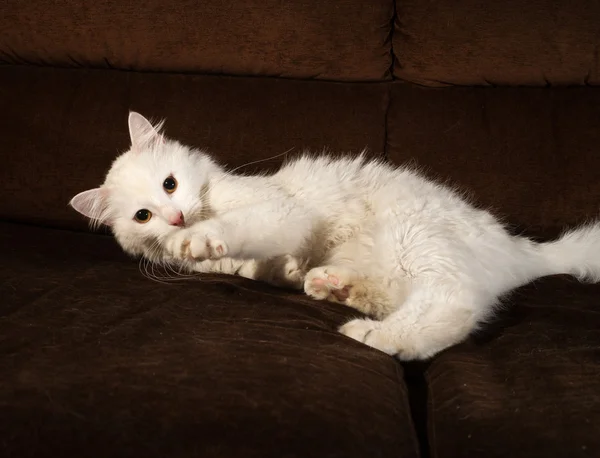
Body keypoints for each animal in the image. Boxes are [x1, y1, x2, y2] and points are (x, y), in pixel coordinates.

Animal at [70, 112, 600, 362]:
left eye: (170, 184)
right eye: (144, 216)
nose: (176, 219)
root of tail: (522, 248)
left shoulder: (283, 210)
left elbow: (243, 230)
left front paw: (201, 237)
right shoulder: (252, 257)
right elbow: (257, 267)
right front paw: (282, 269)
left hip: (415, 238)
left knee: (453, 304)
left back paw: (375, 335)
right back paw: (332, 286)